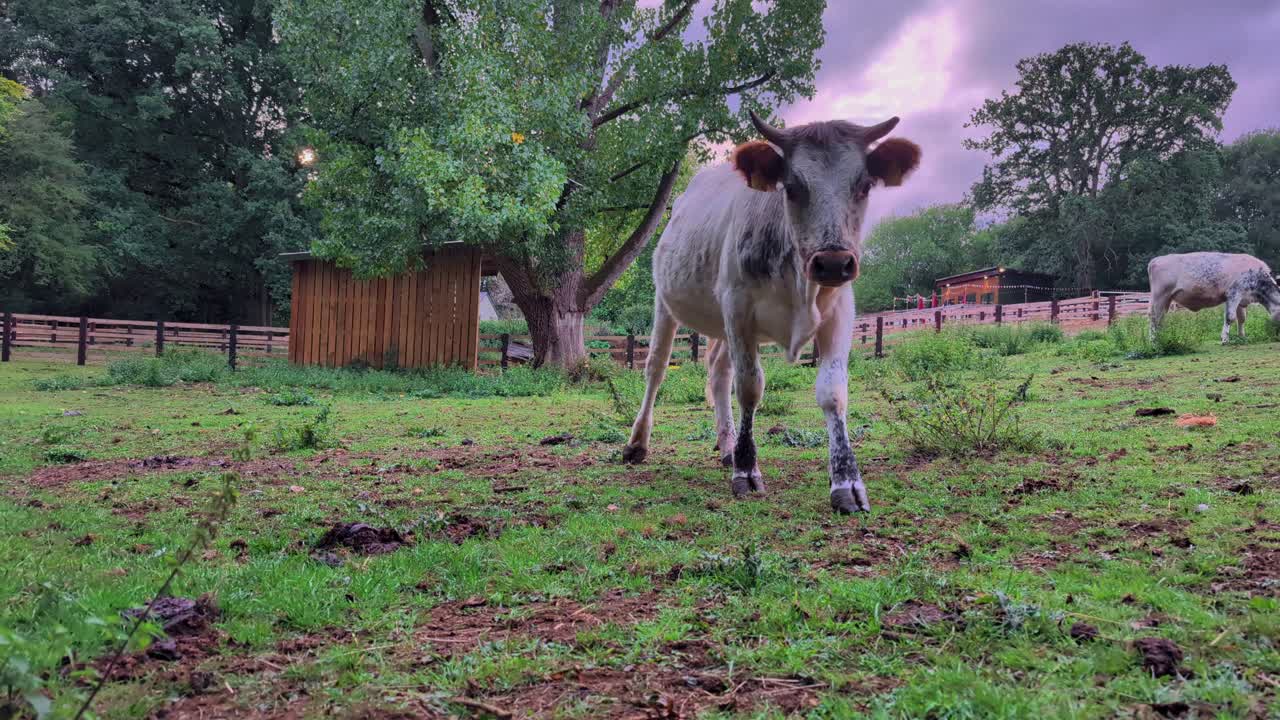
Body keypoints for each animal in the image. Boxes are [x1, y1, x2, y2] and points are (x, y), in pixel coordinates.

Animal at [622, 111, 921, 514]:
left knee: (718, 372)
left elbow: (833, 392)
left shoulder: (840, 312)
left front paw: (846, 482)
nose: (832, 262)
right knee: (656, 367)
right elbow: (749, 388)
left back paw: (727, 445)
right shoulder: (739, 309)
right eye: (791, 187)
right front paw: (747, 472)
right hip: (665, 301)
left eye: (864, 186)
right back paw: (638, 443)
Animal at [1148, 252, 1280, 343]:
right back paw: (1154, 342)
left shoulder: (1242, 300)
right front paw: (1225, 339)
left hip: (1166, 299)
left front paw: (1242, 337)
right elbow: (1230, 317)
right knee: (1154, 318)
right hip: (1159, 296)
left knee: (1160, 319)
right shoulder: (1233, 294)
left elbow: (1242, 318)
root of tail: (1156, 260)